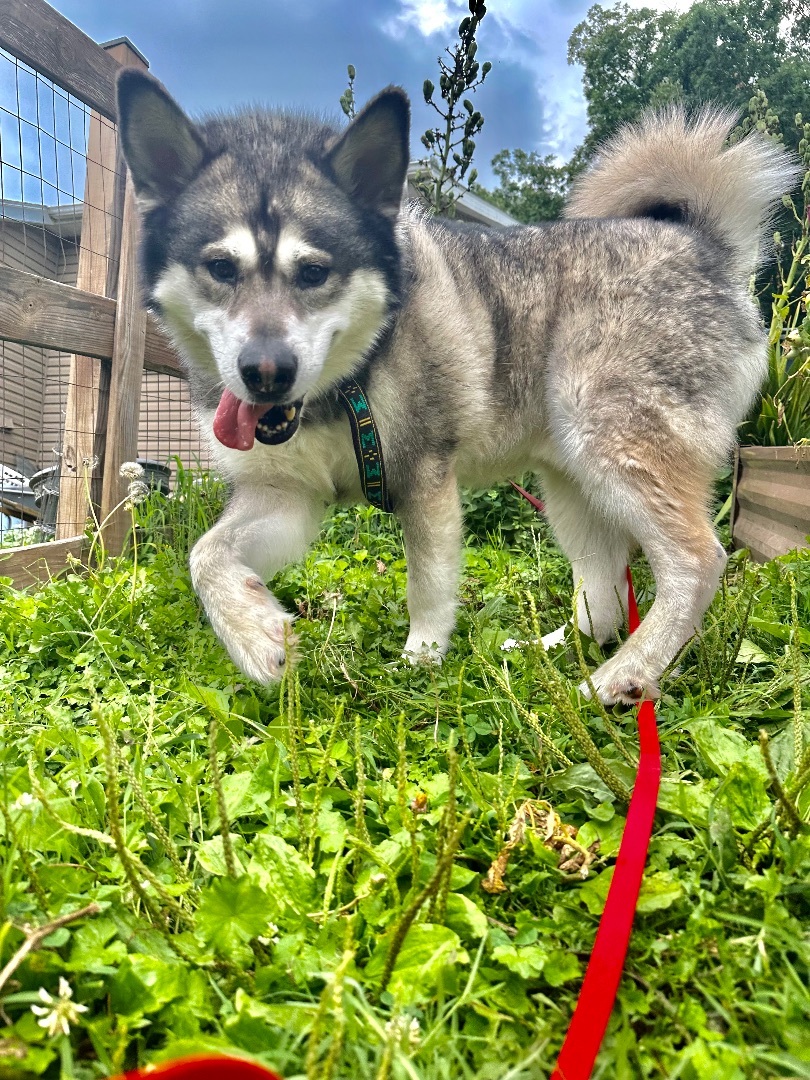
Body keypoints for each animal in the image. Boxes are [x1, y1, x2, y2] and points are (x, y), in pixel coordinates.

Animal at [115, 69, 799, 708]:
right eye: (220, 268)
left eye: (313, 272)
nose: (266, 371)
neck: (350, 382)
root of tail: (704, 242)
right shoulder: (288, 496)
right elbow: (205, 555)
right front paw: (257, 636)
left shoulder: (425, 478)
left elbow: (428, 583)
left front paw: (419, 662)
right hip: (571, 482)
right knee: (604, 590)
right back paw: (553, 650)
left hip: (614, 444)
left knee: (697, 561)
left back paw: (624, 674)